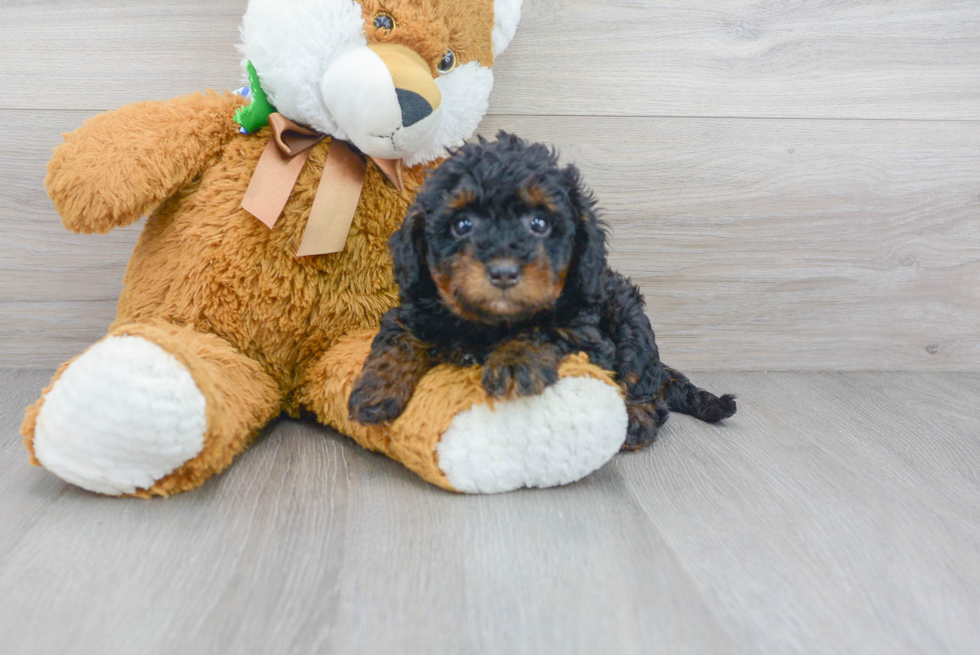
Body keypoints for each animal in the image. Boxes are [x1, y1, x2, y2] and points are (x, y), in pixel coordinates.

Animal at [352, 133, 736, 452]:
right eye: (462, 225)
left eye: (539, 224)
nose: (504, 273)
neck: (491, 323)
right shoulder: (416, 308)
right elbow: (399, 337)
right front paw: (375, 390)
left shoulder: (586, 333)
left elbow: (545, 330)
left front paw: (514, 362)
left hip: (629, 320)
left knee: (643, 385)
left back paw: (636, 422)